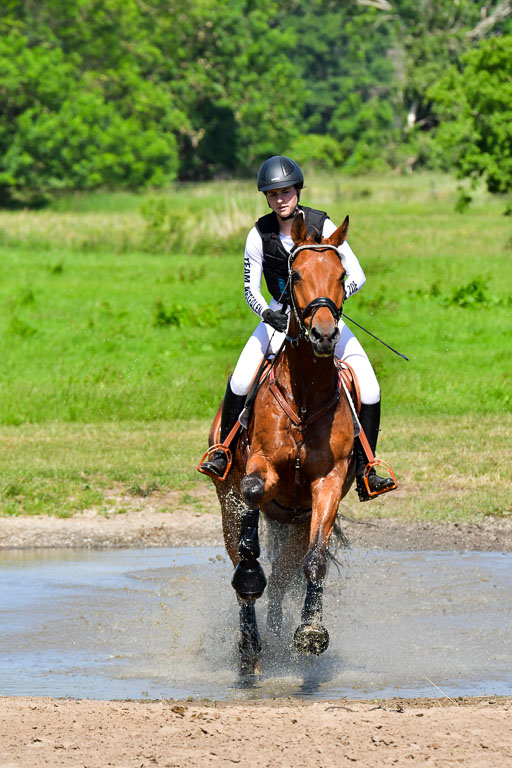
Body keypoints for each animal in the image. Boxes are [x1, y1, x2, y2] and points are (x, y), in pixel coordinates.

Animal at [206, 212, 357, 674]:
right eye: (296, 275)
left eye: (342, 275)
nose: (324, 335)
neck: (304, 396)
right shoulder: (259, 467)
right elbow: (253, 500)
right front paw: (250, 574)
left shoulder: (327, 483)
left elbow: (316, 561)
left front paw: (311, 631)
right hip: (227, 501)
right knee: (244, 569)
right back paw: (250, 644)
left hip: (295, 520)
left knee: (283, 578)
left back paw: (273, 636)